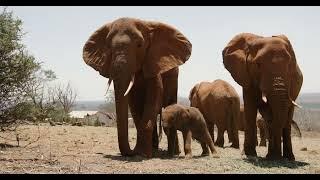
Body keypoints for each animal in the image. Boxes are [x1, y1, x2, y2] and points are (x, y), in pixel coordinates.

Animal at [83, 17, 192, 158]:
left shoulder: (153, 62)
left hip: (174, 76)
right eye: (108, 47)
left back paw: (172, 153)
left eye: (140, 45)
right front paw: (141, 152)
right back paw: (155, 149)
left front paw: (143, 154)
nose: (130, 152)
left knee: (169, 104)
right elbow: (133, 103)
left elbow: (154, 98)